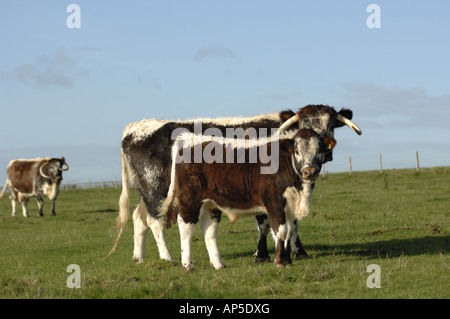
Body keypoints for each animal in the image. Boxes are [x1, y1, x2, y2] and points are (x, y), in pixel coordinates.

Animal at [160, 129, 336, 268]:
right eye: (297, 151)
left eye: (319, 150)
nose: (310, 171)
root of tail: (189, 138)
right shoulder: (275, 203)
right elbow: (281, 231)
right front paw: (279, 261)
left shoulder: (291, 207)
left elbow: (290, 231)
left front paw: (287, 260)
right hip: (189, 198)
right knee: (186, 227)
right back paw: (188, 264)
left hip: (211, 203)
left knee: (209, 230)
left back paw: (218, 264)